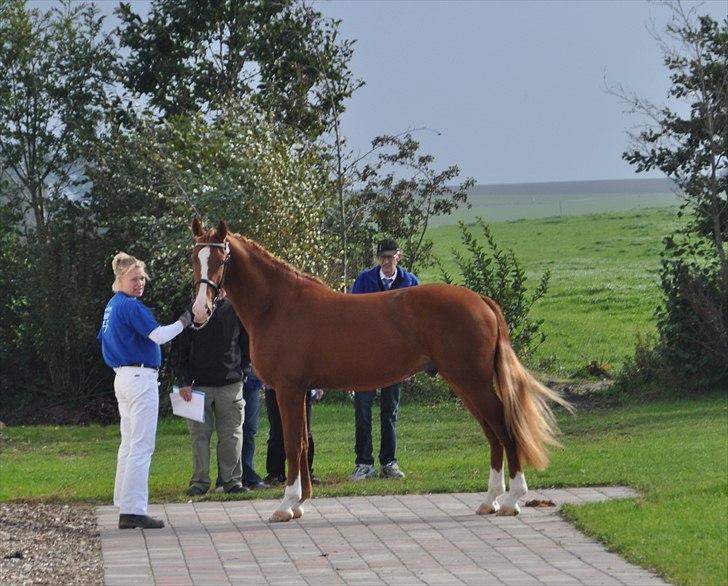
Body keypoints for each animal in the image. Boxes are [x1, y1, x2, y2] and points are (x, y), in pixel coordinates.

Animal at [189, 219, 568, 520]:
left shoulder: (289, 389)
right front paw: (301, 503)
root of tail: (483, 302)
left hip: (472, 382)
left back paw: (512, 500)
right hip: (465, 385)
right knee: (493, 434)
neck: (279, 305)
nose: (199, 311)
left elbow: (294, 443)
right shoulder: (301, 391)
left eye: (221, 259)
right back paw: (490, 501)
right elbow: (303, 443)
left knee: (504, 428)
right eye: (195, 258)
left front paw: (286, 505)